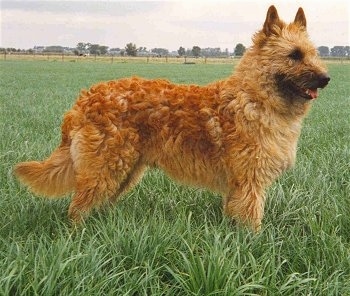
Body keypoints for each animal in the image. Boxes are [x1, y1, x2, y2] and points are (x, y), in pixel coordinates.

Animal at [13, 5, 330, 230]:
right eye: (294, 55)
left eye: (313, 54)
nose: (326, 79)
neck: (254, 97)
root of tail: (83, 100)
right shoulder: (250, 181)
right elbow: (252, 220)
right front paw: (254, 245)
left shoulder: (238, 186)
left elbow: (233, 214)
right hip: (105, 168)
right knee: (77, 209)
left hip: (123, 171)